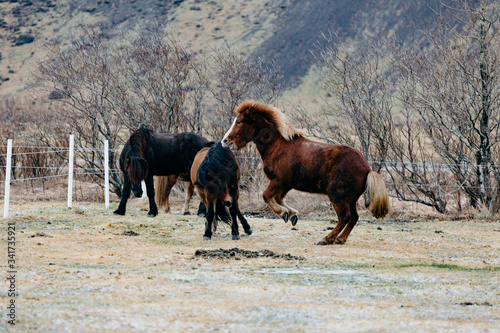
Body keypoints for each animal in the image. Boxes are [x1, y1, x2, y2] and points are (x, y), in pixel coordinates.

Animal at [223, 99, 390, 244]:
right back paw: (340, 239)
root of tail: (367, 168)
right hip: (351, 199)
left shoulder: (279, 181)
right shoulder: (284, 185)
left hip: (337, 196)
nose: (225, 141)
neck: (278, 146)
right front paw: (291, 215)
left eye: (239, 121)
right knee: (354, 217)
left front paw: (284, 213)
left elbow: (266, 196)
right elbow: (278, 198)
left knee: (345, 217)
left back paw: (327, 239)